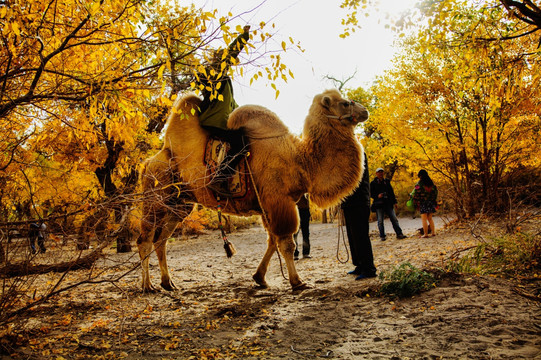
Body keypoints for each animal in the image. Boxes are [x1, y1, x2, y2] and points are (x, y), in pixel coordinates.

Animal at [137, 88, 370, 292]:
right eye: (345, 103)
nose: (365, 111)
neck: (300, 160)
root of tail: (148, 162)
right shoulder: (278, 200)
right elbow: (286, 243)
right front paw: (297, 282)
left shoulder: (268, 205)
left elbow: (272, 242)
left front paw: (259, 278)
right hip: (155, 197)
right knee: (145, 239)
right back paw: (148, 286)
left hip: (179, 205)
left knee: (161, 240)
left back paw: (168, 283)